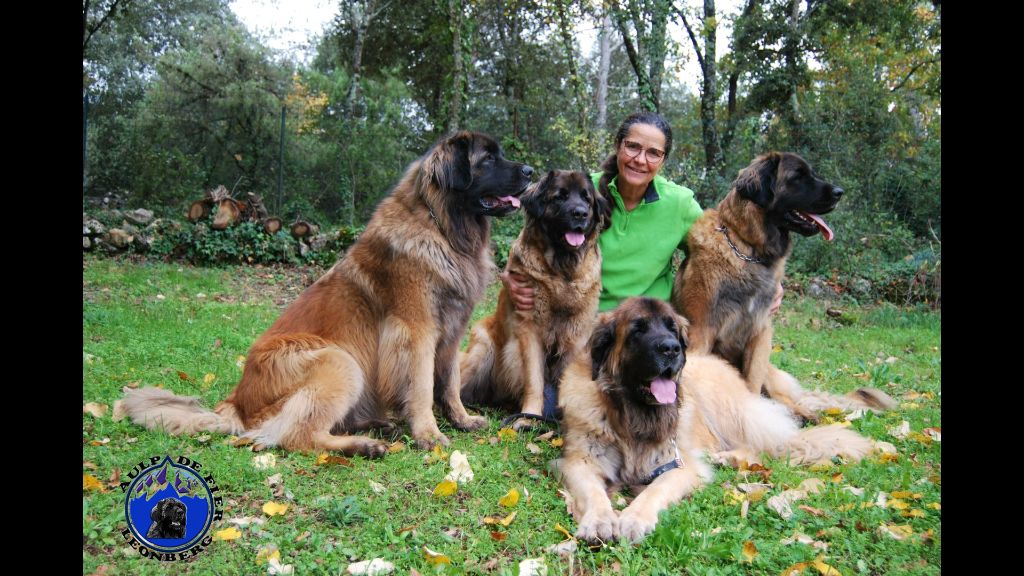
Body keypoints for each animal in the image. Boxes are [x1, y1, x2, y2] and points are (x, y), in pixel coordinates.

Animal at [121, 130, 536, 453]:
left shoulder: (450, 332)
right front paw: (428, 435)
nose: (532, 171)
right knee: (296, 436)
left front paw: (462, 420)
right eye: (487, 159)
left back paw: (375, 426)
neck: (441, 228)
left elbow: (449, 383)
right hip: (339, 362)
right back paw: (365, 444)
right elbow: (420, 386)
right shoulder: (415, 331)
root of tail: (236, 403)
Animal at [462, 169, 610, 426]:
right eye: (560, 197)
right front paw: (528, 417)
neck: (562, 272)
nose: (580, 213)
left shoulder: (577, 335)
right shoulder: (529, 330)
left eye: (587, 199)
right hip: (482, 351)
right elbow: (534, 379)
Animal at [557, 297, 884, 541]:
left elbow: (656, 489)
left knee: (758, 446)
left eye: (672, 330)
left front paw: (634, 518)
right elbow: (594, 492)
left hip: (727, 409)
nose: (672, 349)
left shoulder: (680, 465)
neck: (631, 413)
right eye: (638, 329)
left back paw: (727, 458)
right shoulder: (581, 461)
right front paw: (599, 520)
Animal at [667, 152, 892, 420]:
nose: (840, 192)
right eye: (798, 176)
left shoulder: (760, 332)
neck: (748, 250)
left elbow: (752, 384)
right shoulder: (702, 331)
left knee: (782, 398)